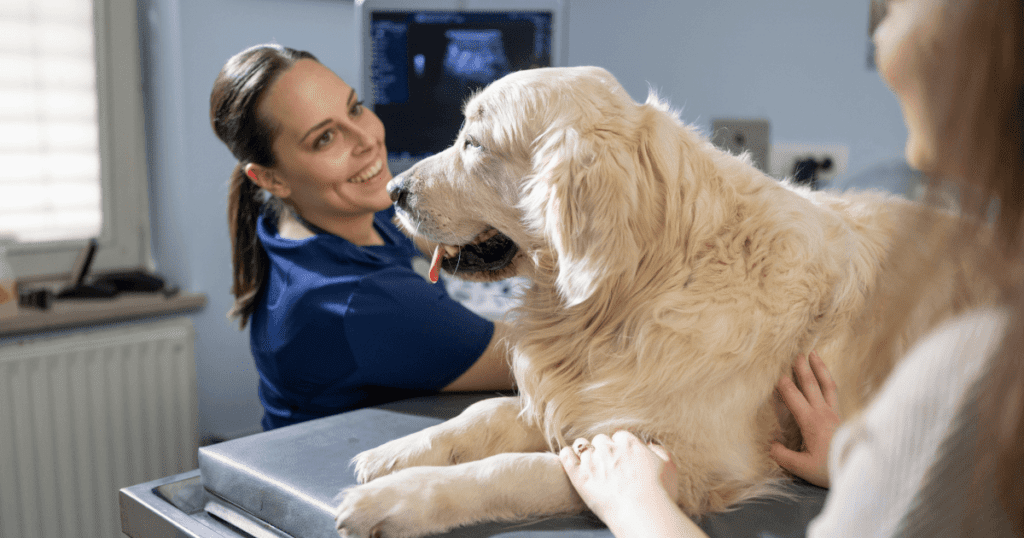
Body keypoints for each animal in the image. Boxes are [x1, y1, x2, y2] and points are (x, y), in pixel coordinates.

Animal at [333, 65, 991, 532]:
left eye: (473, 143)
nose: (392, 190)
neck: (644, 282)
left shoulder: (689, 462)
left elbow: (514, 468)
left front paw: (392, 500)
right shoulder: (577, 395)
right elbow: (486, 412)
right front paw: (399, 452)